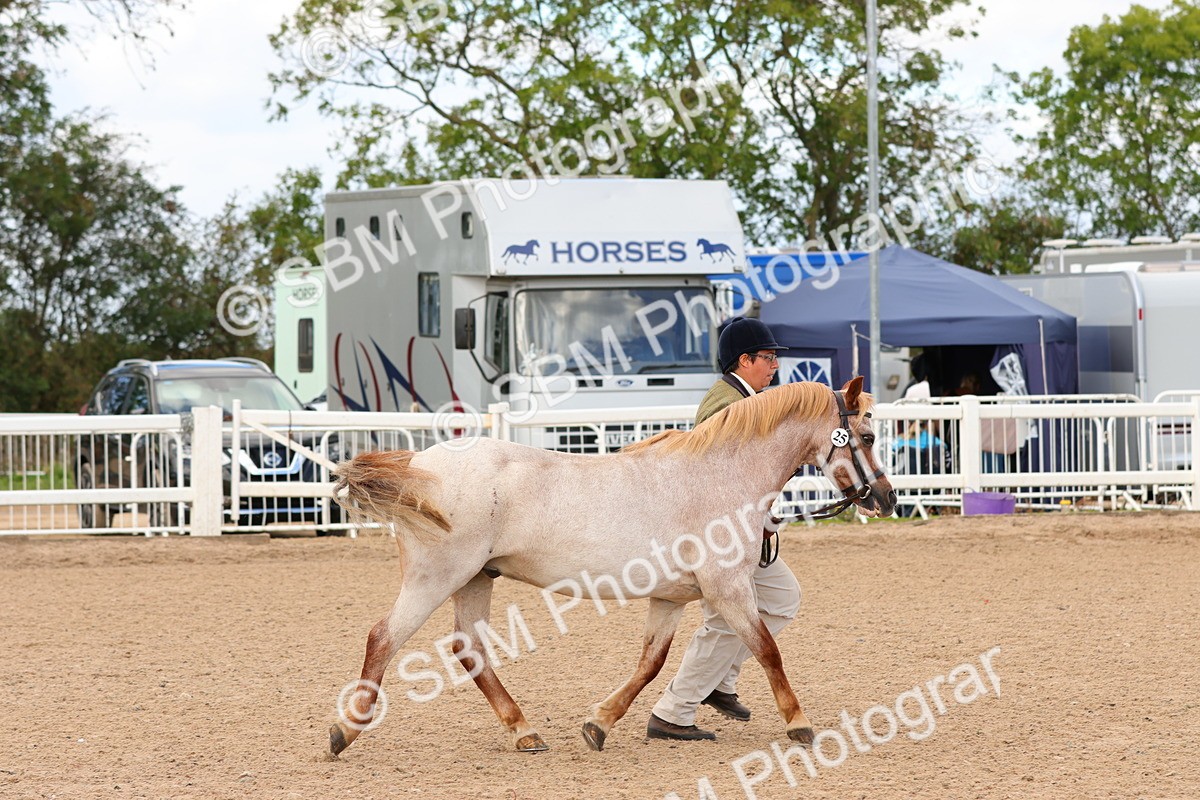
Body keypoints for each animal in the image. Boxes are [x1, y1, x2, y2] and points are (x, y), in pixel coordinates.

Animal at [327, 377, 895, 757]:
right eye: (867, 437)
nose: (886, 498)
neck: (720, 474)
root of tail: (419, 464)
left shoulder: (671, 598)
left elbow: (651, 665)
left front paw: (600, 724)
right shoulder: (728, 589)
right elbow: (768, 650)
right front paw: (799, 724)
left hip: (475, 580)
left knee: (469, 650)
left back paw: (524, 731)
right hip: (436, 578)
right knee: (384, 637)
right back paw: (346, 730)